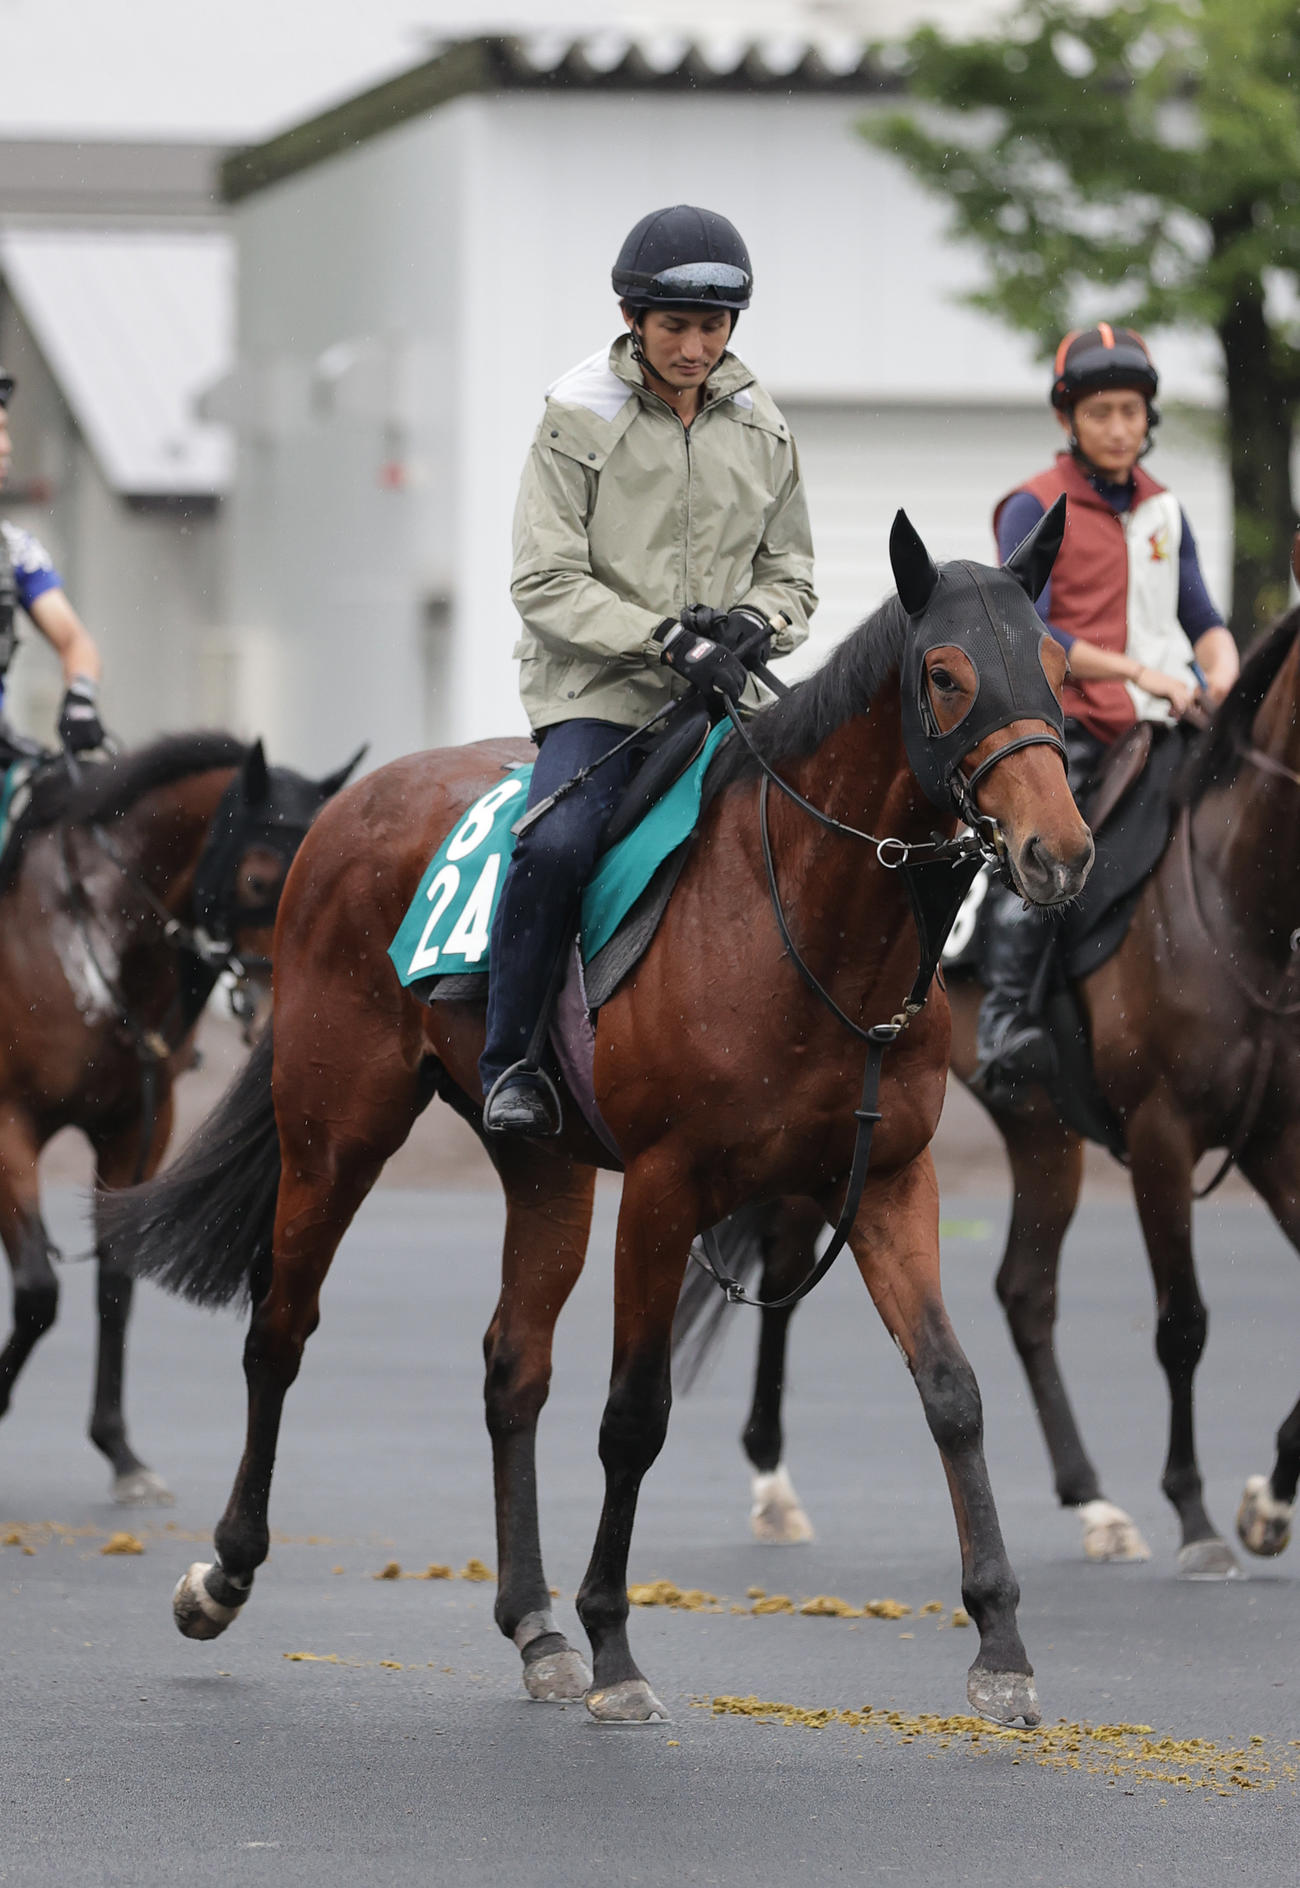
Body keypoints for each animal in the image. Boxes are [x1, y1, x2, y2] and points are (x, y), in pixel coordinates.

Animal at [0, 732, 359, 1502]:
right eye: (257, 880)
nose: (291, 1007)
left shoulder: (138, 1130)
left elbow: (115, 1280)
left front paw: (121, 1452)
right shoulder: (7, 1124)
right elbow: (40, 1290)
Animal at [108, 509, 1093, 1727]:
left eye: (1058, 668)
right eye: (945, 674)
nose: (1059, 851)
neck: (804, 923)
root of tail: (346, 808)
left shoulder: (890, 1181)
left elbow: (952, 1392)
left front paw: (1001, 1643)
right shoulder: (665, 1192)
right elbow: (634, 1414)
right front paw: (617, 1645)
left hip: (544, 1165)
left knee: (510, 1365)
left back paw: (533, 1625)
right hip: (336, 1129)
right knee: (279, 1330)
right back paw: (226, 1573)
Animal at [676, 598, 1300, 1580]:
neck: (1238, 899)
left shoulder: (1276, 1137)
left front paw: (1267, 1502)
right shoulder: (1161, 1139)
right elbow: (1182, 1324)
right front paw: (1198, 1517)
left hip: (1040, 1132)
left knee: (1024, 1292)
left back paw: (1093, 1502)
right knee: (788, 1262)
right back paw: (773, 1484)